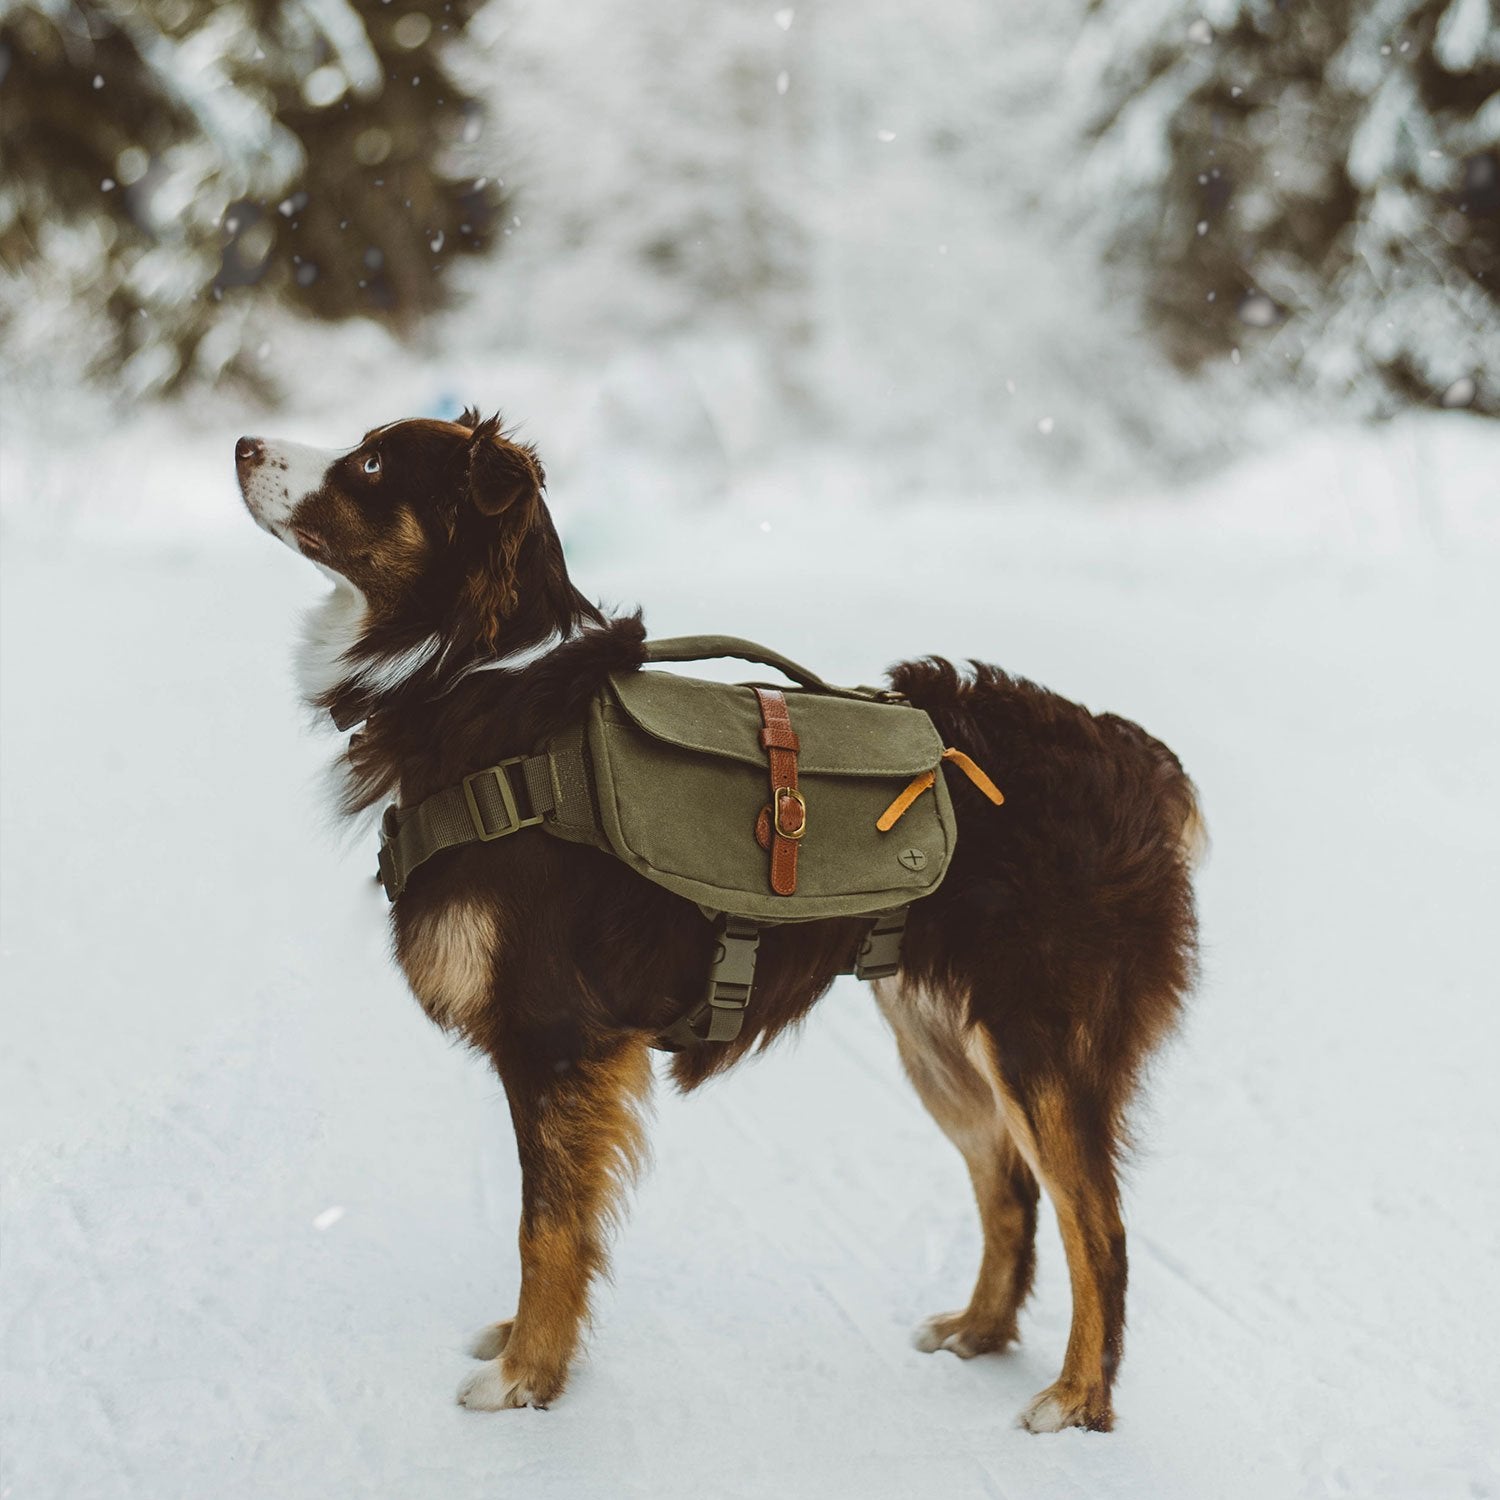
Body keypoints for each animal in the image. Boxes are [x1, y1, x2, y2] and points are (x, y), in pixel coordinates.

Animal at [237, 408, 1206, 1428]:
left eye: (372, 463)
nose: (243, 445)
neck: (477, 678)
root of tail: (1135, 754)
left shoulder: (555, 1035)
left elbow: (545, 1227)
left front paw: (526, 1376)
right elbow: (560, 1221)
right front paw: (525, 1348)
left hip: (1038, 1038)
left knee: (1099, 1226)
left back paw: (1076, 1397)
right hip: (938, 1036)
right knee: (1011, 1189)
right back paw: (980, 1330)